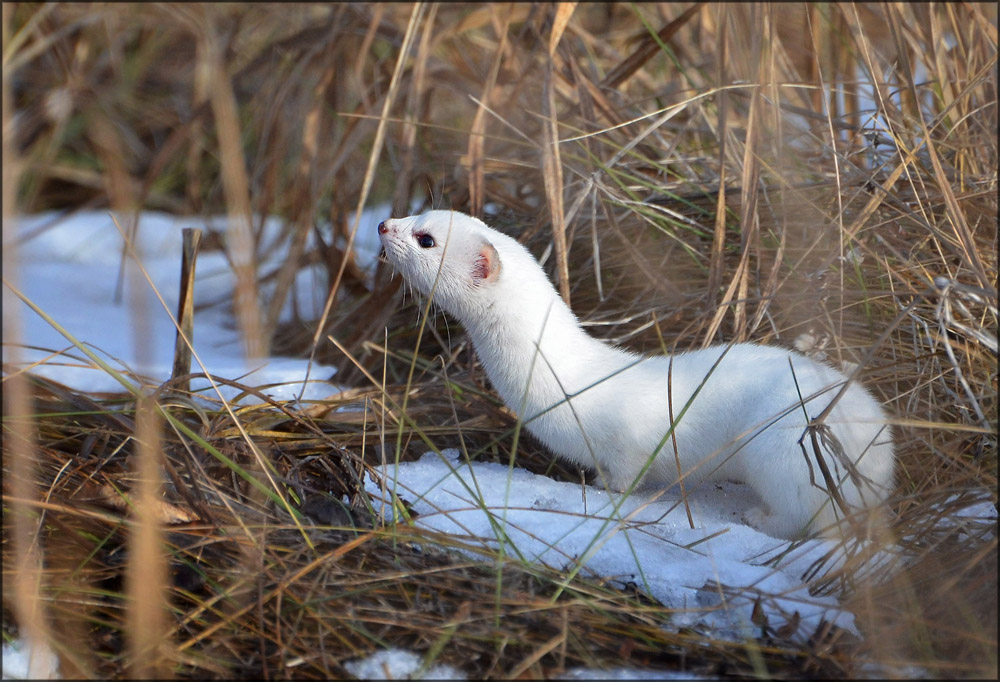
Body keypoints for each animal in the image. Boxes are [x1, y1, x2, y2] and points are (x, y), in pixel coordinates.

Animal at [378, 210, 896, 540]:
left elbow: (628, 475)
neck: (570, 378)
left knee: (803, 517)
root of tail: (882, 459)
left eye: (426, 238)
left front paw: (601, 491)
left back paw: (759, 518)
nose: (382, 224)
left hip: (784, 455)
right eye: (421, 210)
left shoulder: (627, 445)